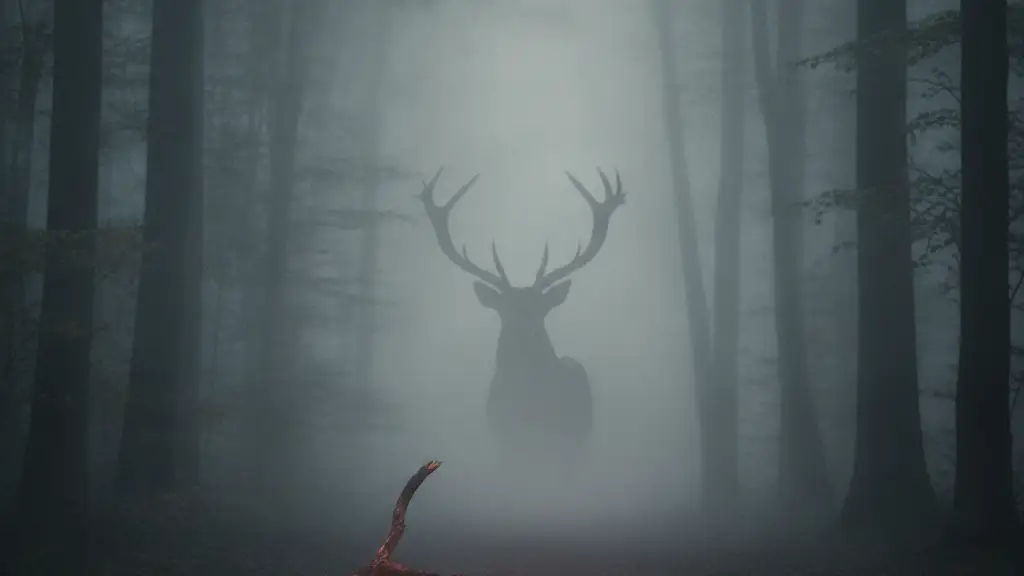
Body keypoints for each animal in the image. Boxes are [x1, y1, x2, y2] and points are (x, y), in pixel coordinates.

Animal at [418, 168, 625, 474]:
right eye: (504, 309)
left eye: (541, 309)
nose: (523, 330)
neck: (528, 405)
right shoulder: (504, 441)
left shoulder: (566, 440)